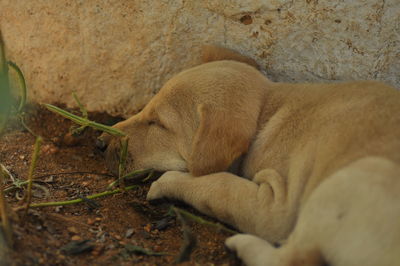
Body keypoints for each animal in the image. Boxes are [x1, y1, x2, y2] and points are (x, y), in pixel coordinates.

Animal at [97, 45, 400, 266]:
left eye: (158, 123)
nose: (98, 144)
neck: (268, 109)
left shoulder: (275, 208)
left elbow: (217, 185)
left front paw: (167, 182)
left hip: (354, 177)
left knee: (292, 258)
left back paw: (241, 244)